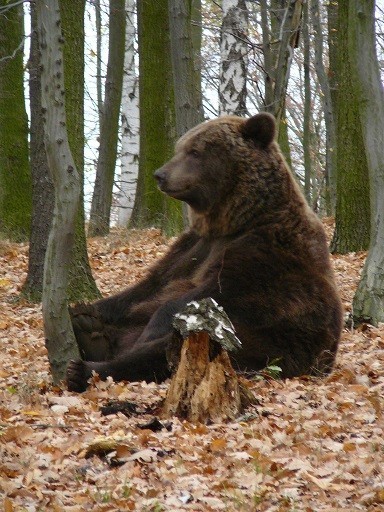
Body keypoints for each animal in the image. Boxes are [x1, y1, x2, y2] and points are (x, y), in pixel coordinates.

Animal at [66, 112, 342, 392]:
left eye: (195, 151)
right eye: (180, 148)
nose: (160, 175)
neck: (234, 220)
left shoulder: (266, 250)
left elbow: (214, 291)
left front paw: (150, 327)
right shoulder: (192, 247)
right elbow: (146, 288)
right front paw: (83, 309)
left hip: (268, 342)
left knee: (163, 353)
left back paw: (86, 368)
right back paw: (88, 331)